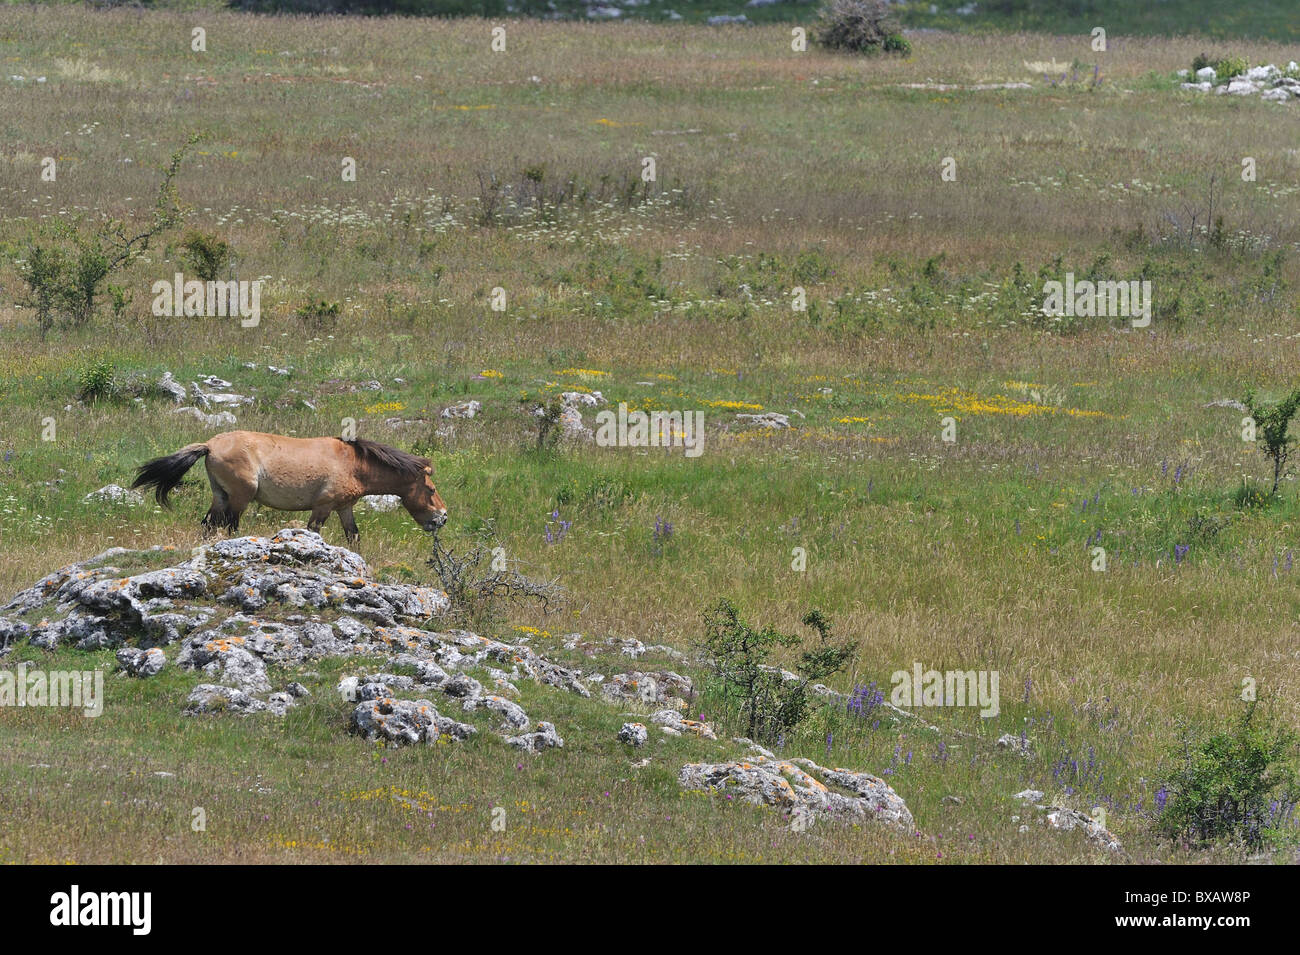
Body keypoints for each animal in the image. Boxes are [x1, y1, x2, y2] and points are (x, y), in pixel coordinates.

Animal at [131, 433, 447, 545]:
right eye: (431, 490)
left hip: (220, 496)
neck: (353, 463)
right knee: (230, 525)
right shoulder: (322, 507)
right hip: (240, 497)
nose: (442, 517)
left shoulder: (344, 507)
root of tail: (209, 445)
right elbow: (314, 532)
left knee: (209, 524)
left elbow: (353, 536)